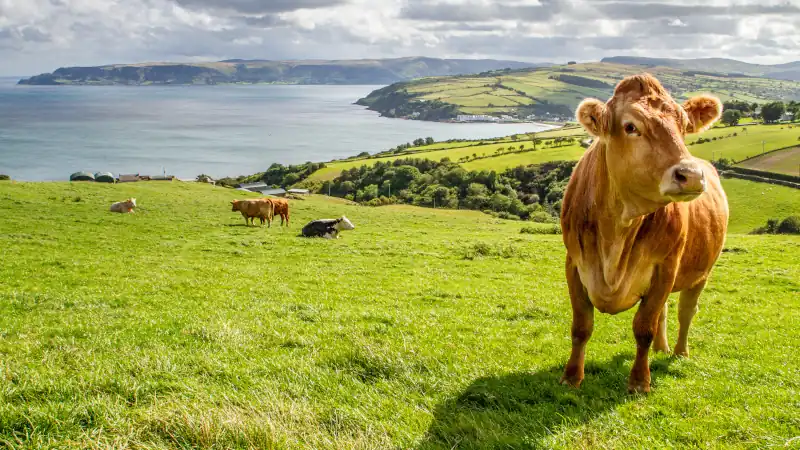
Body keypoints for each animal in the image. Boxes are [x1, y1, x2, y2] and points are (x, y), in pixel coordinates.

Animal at [559, 73, 729, 394]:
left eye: (684, 126)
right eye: (630, 127)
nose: (691, 175)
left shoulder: (665, 267)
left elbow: (643, 328)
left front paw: (639, 381)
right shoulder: (574, 264)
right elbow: (581, 326)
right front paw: (572, 377)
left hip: (702, 272)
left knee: (685, 311)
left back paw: (679, 352)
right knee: (665, 311)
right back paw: (663, 348)